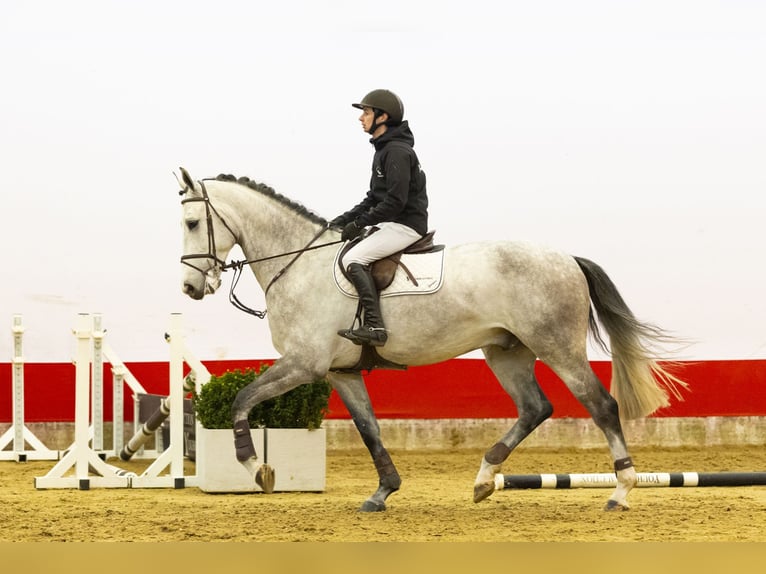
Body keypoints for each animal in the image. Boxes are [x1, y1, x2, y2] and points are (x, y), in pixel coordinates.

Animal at [177, 167, 686, 512]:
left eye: (191, 224)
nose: (190, 288)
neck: (300, 263)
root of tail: (566, 258)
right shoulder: (341, 372)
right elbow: (370, 430)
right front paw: (383, 492)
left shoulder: (305, 364)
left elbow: (242, 399)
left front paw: (255, 467)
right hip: (506, 351)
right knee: (535, 408)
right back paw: (484, 479)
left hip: (557, 346)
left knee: (600, 405)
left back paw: (621, 491)